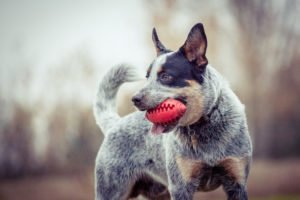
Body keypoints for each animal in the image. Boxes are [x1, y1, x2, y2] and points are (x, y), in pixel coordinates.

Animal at [94, 22, 253, 199]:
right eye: (147, 76)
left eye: (165, 76)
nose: (135, 99)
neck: (204, 126)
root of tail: (115, 124)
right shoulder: (180, 186)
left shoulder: (236, 182)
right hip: (111, 189)